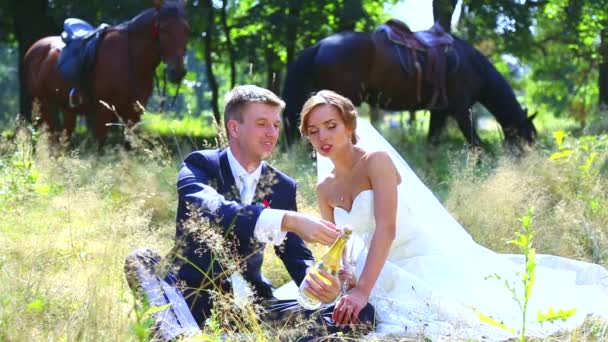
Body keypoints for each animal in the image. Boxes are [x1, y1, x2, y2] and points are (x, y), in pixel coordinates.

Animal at [23, 0, 190, 146]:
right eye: (164, 29)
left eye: (187, 30)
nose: (178, 71)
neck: (130, 59)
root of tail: (34, 48)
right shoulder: (103, 113)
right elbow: (100, 147)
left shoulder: (134, 115)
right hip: (44, 105)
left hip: (67, 109)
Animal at [282, 27, 536, 148]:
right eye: (528, 136)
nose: (527, 162)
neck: (472, 64)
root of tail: (319, 45)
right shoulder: (462, 111)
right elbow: (476, 144)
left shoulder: (440, 112)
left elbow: (432, 142)